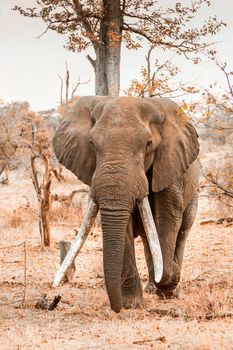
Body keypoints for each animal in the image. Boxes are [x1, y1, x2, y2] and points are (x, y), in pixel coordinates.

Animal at [52, 95, 198, 312]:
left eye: (148, 144)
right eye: (91, 143)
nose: (116, 307)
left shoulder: (169, 167)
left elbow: (167, 217)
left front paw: (169, 278)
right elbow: (125, 223)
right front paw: (132, 304)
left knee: (181, 233)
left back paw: (171, 290)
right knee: (147, 239)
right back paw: (153, 287)